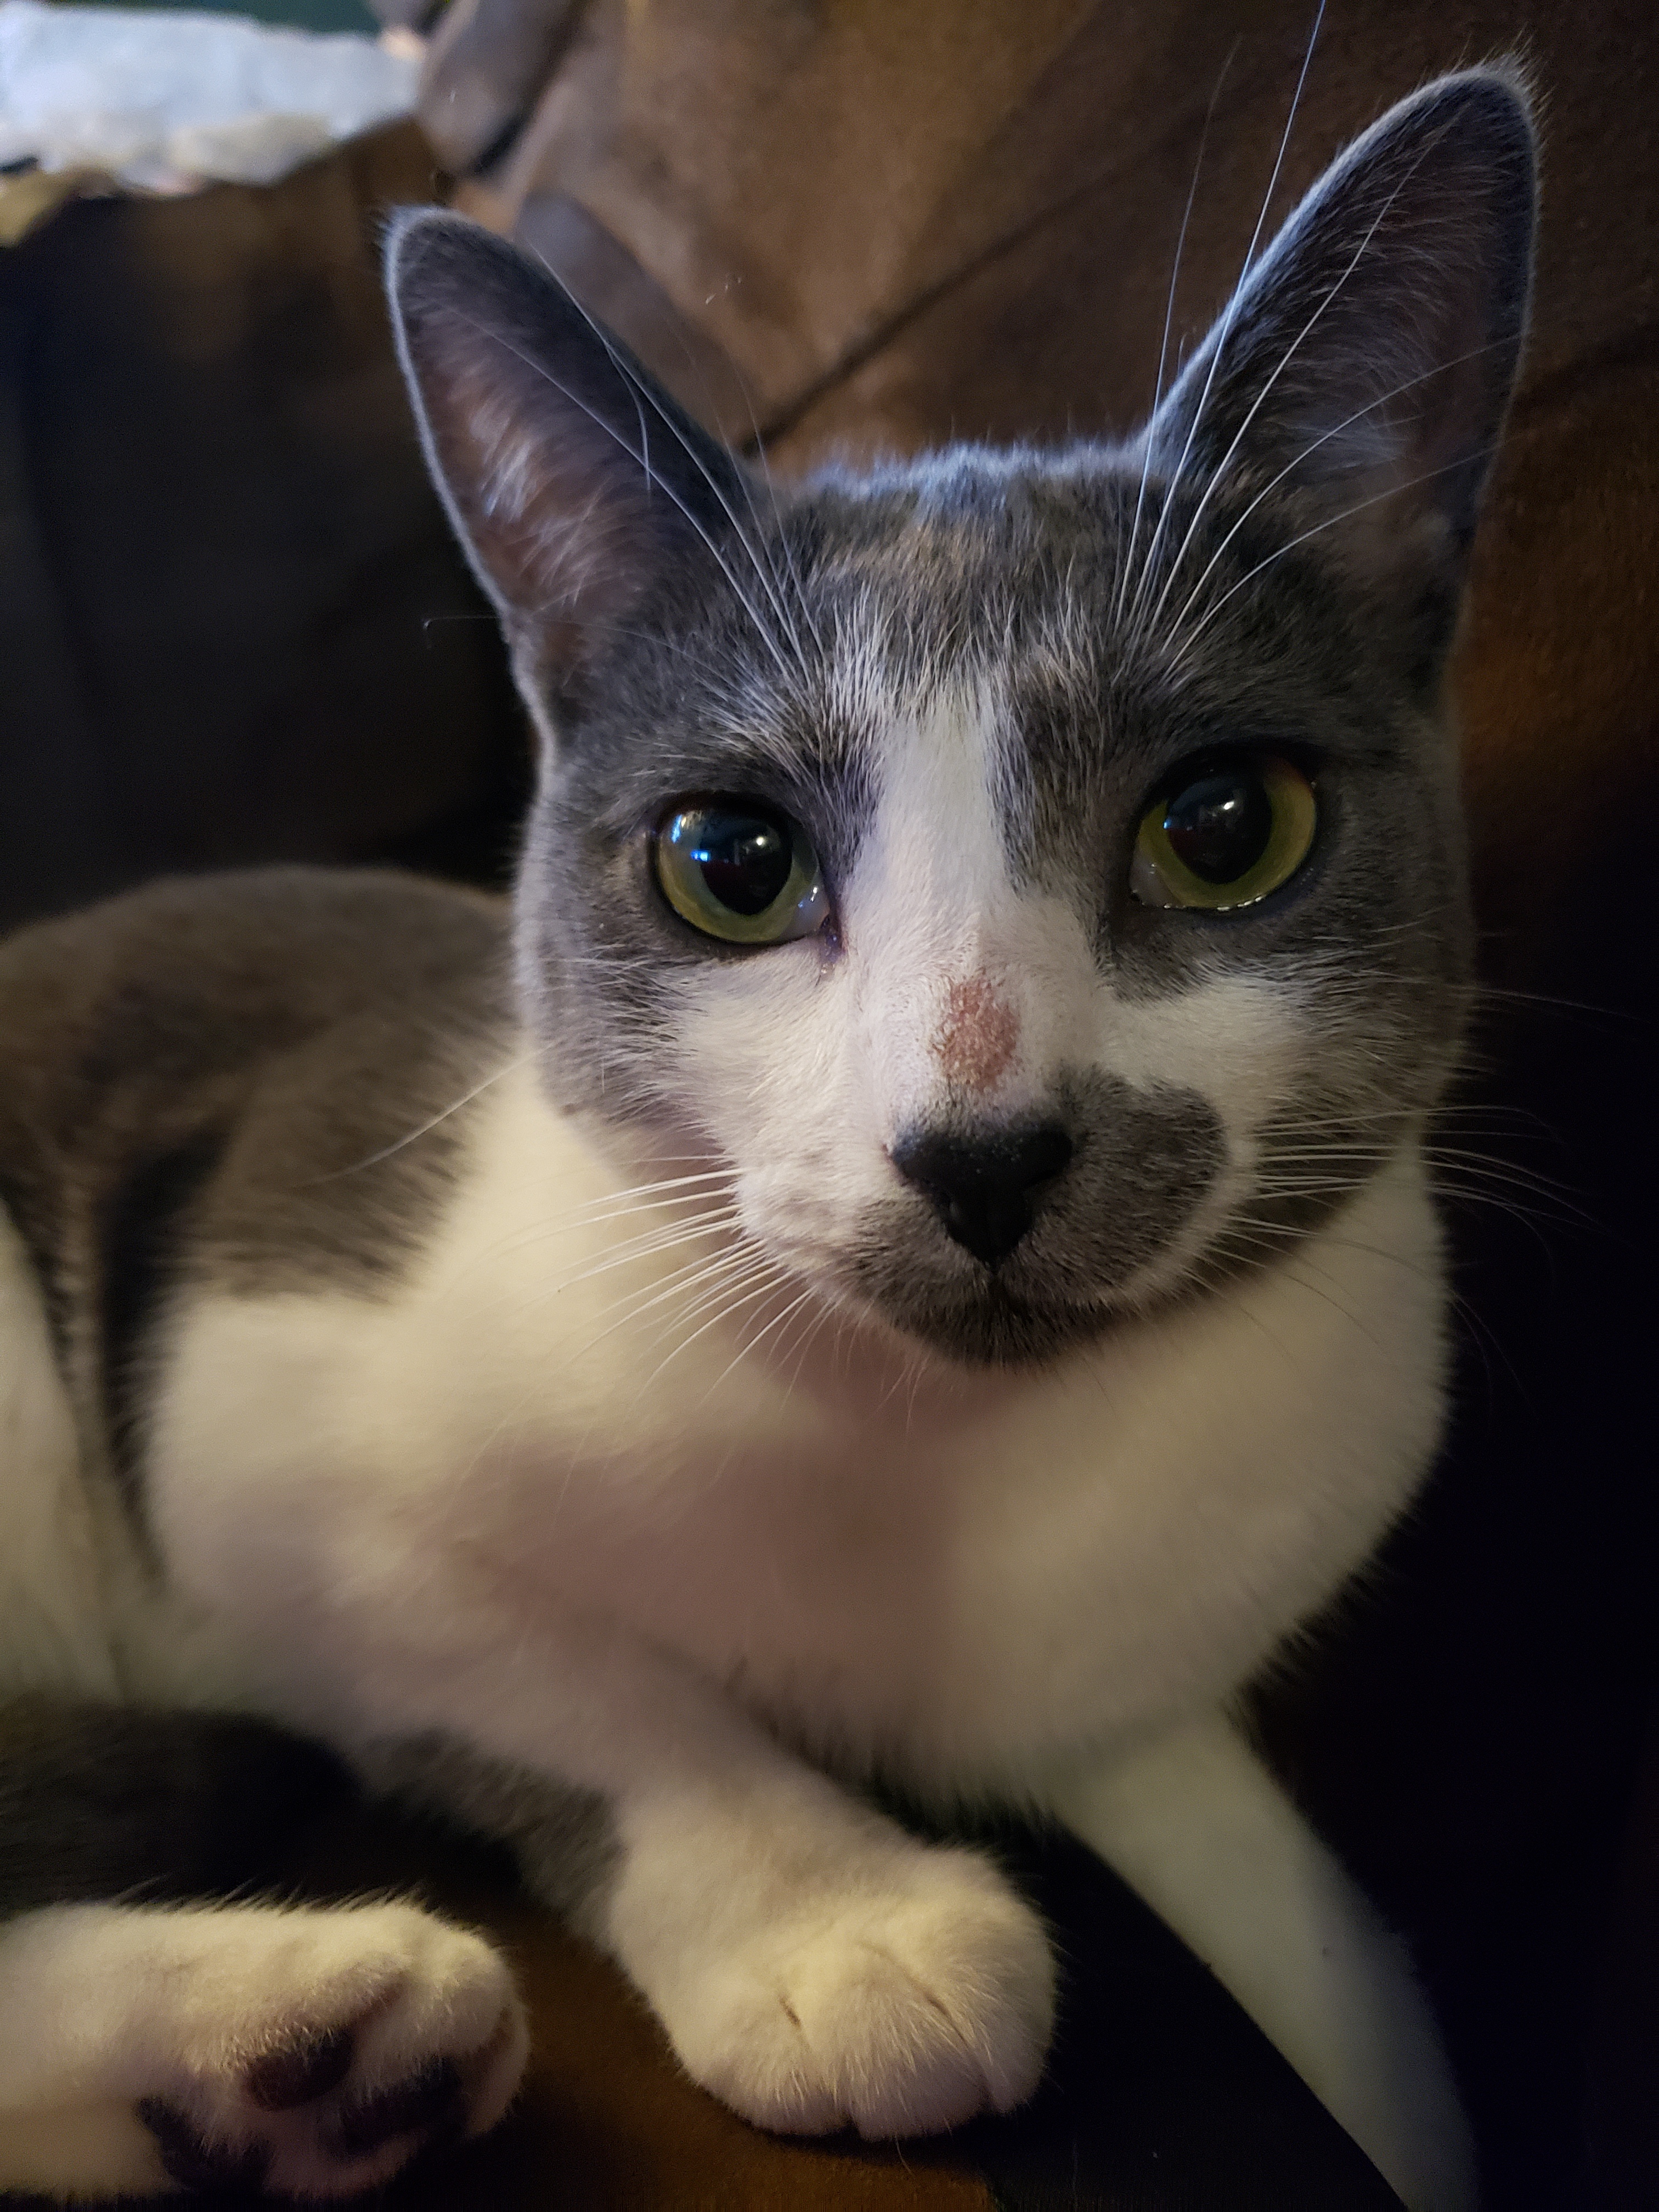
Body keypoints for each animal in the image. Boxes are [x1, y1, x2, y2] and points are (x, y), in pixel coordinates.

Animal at [0, 64, 1531, 2212]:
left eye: (1227, 827)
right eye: (728, 862)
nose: (982, 1149)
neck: (945, 1472)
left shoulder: (1169, 1668)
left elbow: (1322, 1979)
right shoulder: (243, 1399)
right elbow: (564, 1669)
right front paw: (842, 1928)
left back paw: (289, 2067)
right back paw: (322, 2015)